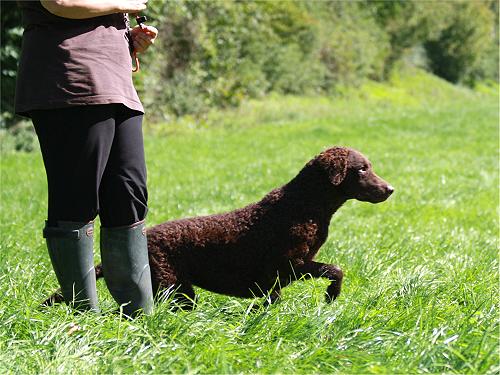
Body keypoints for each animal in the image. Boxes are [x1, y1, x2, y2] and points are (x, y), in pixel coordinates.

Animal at [44, 147, 394, 308]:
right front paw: (331, 296)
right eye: (362, 169)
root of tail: (146, 237)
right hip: (175, 286)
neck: (303, 204)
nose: (390, 189)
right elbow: (335, 269)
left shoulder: (285, 272)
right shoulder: (290, 264)